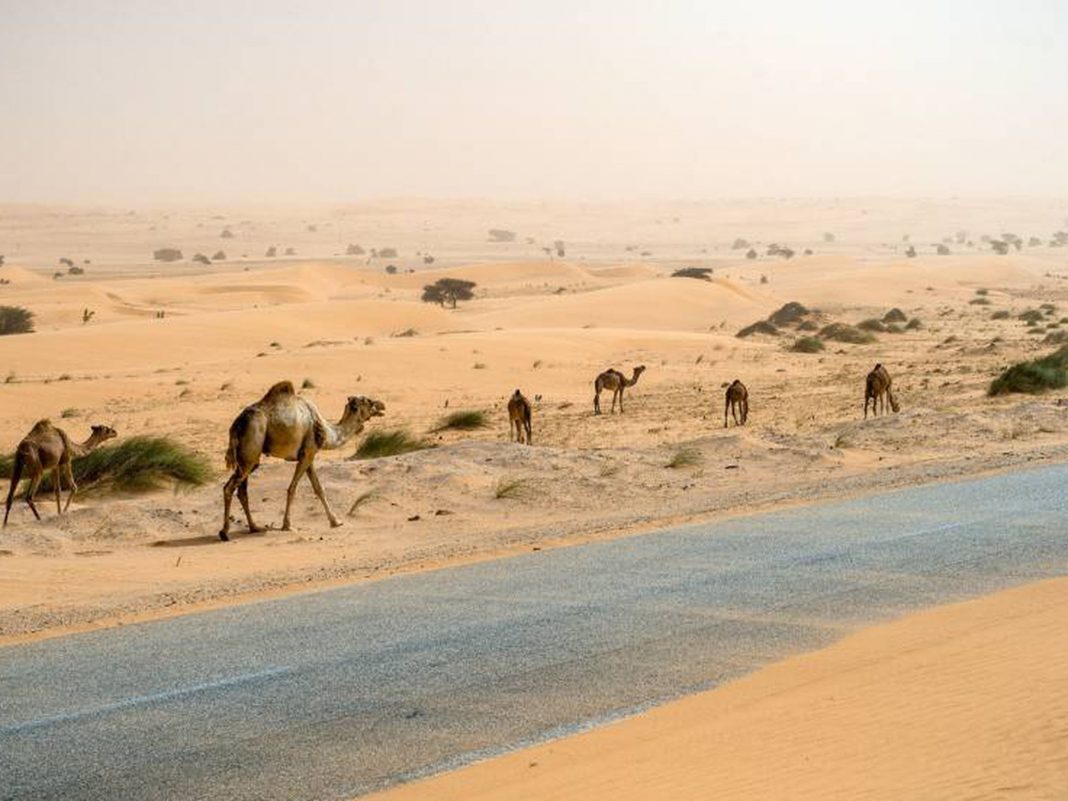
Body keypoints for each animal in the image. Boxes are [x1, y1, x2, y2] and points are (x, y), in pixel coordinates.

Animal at [216, 380, 384, 542]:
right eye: (368, 401)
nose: (382, 405)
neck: (325, 430)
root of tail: (236, 424)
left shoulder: (309, 456)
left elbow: (319, 488)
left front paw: (335, 521)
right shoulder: (308, 452)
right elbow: (293, 488)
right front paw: (287, 525)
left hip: (247, 460)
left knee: (242, 491)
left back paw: (254, 527)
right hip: (252, 446)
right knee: (229, 488)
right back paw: (224, 532)